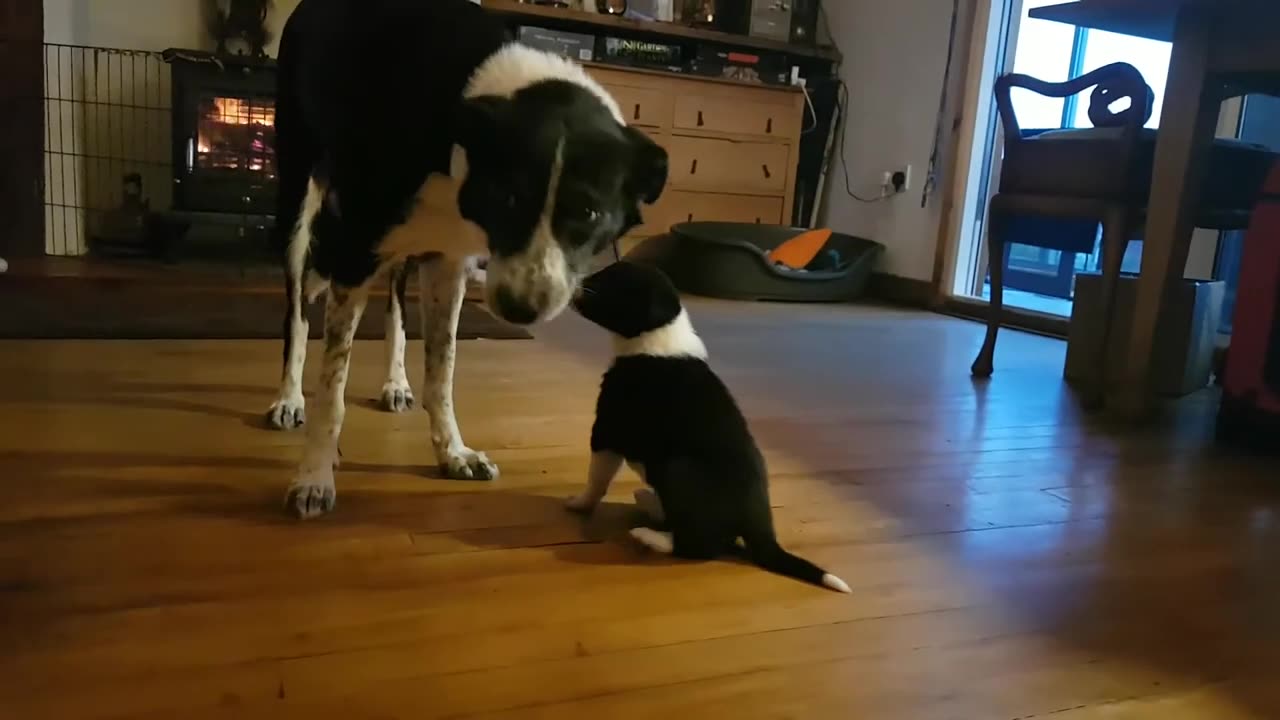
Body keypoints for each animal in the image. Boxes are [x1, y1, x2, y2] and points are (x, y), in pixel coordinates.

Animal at [271, 0, 670, 515]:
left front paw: (453, 453)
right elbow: (332, 391)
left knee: (396, 303)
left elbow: (442, 371)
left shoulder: (446, 263)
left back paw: (395, 383)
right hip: (299, 200)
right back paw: (289, 397)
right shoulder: (356, 252)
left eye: (589, 213)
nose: (522, 310)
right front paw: (315, 476)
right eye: (507, 198)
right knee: (298, 308)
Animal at [568, 260, 849, 591]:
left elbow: (596, 478)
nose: (571, 281)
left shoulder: (607, 429)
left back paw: (650, 536)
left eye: (609, 281)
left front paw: (579, 504)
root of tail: (760, 527)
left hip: (676, 470)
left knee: (698, 545)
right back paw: (650, 503)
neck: (659, 334)